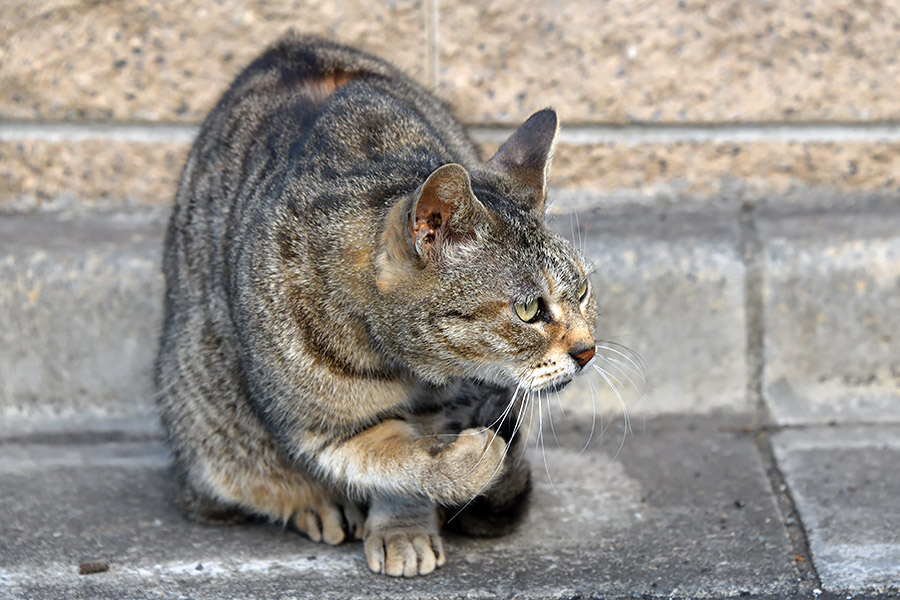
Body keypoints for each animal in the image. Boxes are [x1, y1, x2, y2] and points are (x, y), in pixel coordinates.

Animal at [155, 35, 596, 580]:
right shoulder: (320, 429)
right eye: (531, 310)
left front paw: (406, 526)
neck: (407, 367)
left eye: (582, 291)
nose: (588, 351)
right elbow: (394, 464)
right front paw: (464, 467)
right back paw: (317, 505)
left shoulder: (451, 406)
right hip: (204, 418)